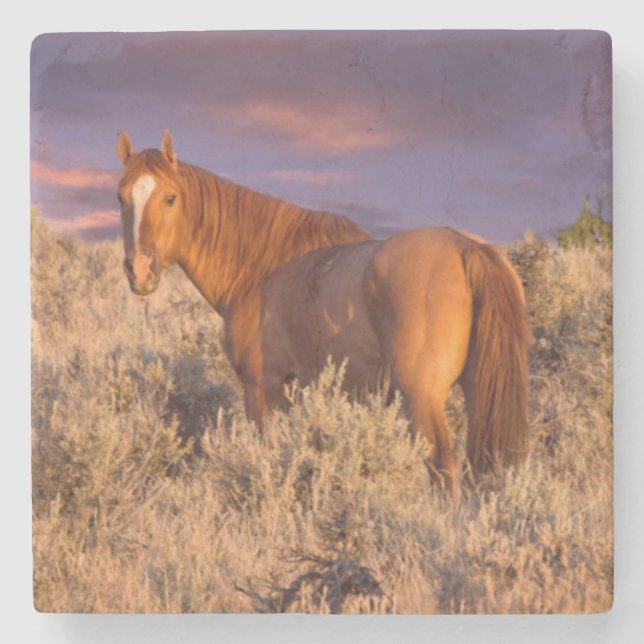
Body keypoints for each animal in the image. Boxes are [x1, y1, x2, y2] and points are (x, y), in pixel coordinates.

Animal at [116, 129, 531, 499]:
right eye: (121, 198)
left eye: (171, 197)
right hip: (475, 391)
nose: (139, 271)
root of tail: (467, 249)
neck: (262, 268)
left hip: (421, 398)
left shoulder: (263, 388)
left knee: (443, 468)